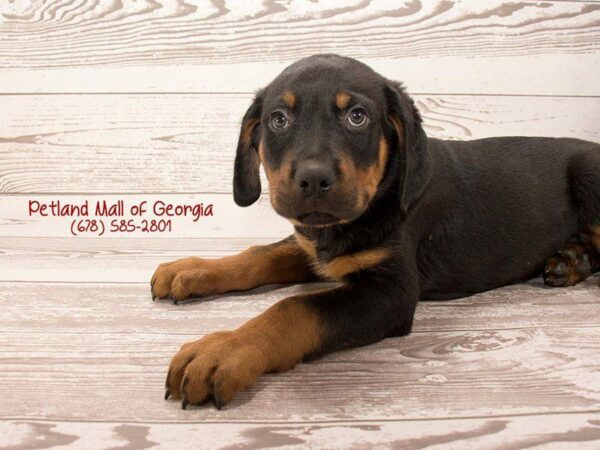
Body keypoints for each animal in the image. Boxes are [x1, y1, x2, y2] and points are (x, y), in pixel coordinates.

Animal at [151, 53, 600, 412]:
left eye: (357, 116)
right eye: (279, 120)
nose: (313, 180)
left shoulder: (390, 291)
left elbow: (294, 308)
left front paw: (223, 350)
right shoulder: (315, 246)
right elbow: (259, 255)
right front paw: (192, 269)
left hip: (587, 170)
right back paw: (570, 260)